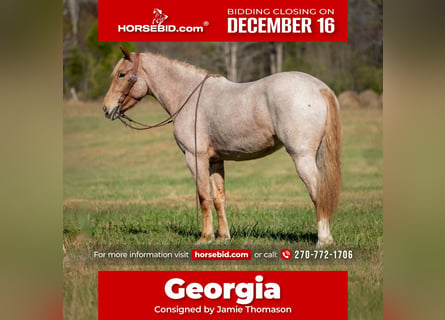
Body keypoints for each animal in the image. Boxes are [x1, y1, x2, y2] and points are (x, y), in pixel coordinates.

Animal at [102, 47, 342, 248]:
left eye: (122, 74)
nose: (106, 108)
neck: (187, 96)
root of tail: (319, 87)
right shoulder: (215, 160)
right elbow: (219, 198)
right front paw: (222, 237)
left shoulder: (195, 157)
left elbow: (203, 197)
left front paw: (205, 237)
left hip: (302, 157)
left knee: (318, 192)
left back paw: (323, 240)